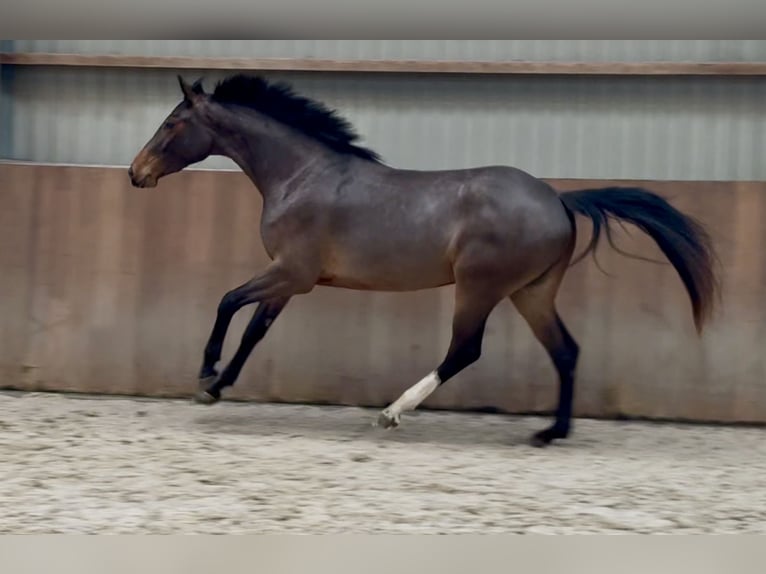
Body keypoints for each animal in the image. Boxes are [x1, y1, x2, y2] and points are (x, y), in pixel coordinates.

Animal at [129, 75, 719, 447]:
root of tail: (558, 199)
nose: (136, 174)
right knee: (566, 351)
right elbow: (255, 331)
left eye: (172, 123)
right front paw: (216, 388)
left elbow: (227, 302)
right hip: (532, 292)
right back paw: (551, 433)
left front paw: (205, 374)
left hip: (480, 288)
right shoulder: (293, 282)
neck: (301, 176)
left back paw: (393, 413)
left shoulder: (290, 272)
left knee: (465, 350)